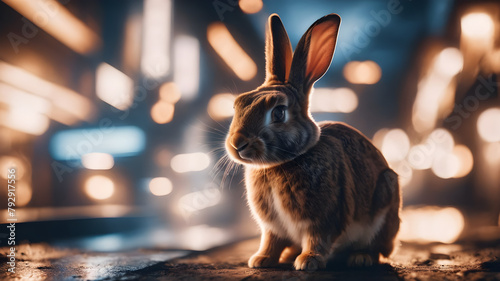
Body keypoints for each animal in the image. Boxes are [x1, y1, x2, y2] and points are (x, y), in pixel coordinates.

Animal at [227, 13, 402, 272]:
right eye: (238, 104)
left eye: (278, 113)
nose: (237, 143)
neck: (282, 164)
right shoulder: (272, 227)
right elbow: (271, 241)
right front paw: (261, 260)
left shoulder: (323, 220)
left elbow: (317, 239)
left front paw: (308, 262)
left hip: (385, 199)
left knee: (375, 246)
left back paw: (360, 258)